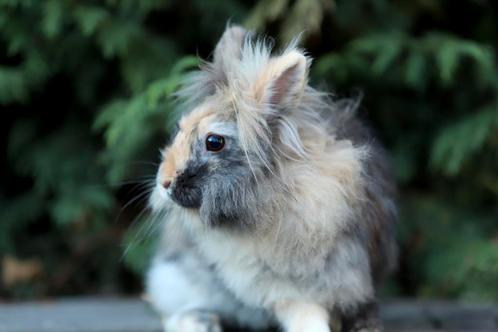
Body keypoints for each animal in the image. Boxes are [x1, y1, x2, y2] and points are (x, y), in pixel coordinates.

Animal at [145, 25, 396, 332]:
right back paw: (200, 322)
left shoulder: (348, 275)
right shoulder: (281, 288)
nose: (164, 182)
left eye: (214, 142)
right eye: (179, 129)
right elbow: (305, 314)